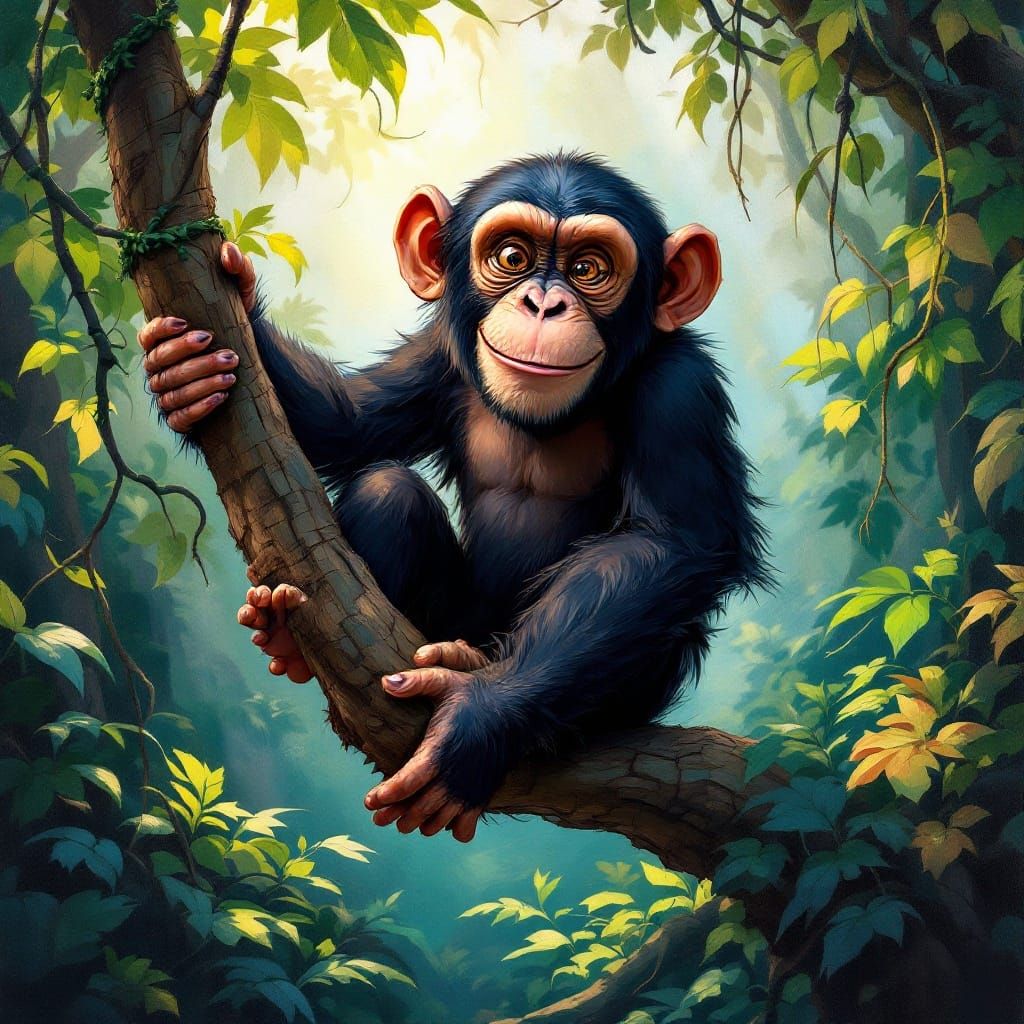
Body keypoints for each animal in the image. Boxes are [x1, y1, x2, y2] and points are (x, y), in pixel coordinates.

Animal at [137, 152, 770, 843]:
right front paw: (196, 354)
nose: (543, 303)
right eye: (513, 256)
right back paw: (290, 637)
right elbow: (350, 423)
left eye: (588, 269)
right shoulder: (440, 355)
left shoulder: (681, 387)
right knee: (387, 490)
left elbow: (671, 542)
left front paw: (476, 720)